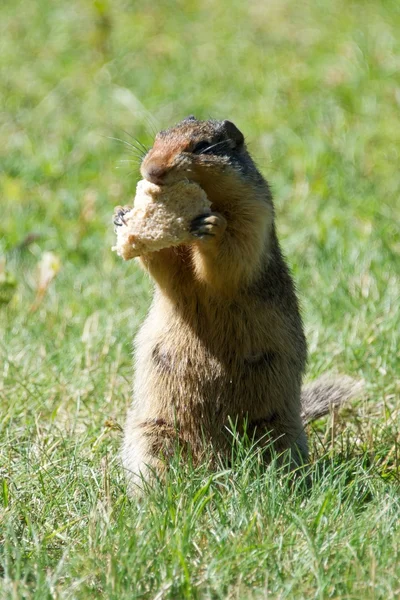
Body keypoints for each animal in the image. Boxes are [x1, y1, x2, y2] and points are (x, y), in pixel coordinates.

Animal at [113, 115, 362, 490]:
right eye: (157, 138)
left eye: (202, 146)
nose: (152, 170)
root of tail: (214, 465)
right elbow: (170, 269)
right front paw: (124, 215)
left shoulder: (253, 211)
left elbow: (235, 253)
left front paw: (213, 227)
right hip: (152, 432)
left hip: (276, 433)